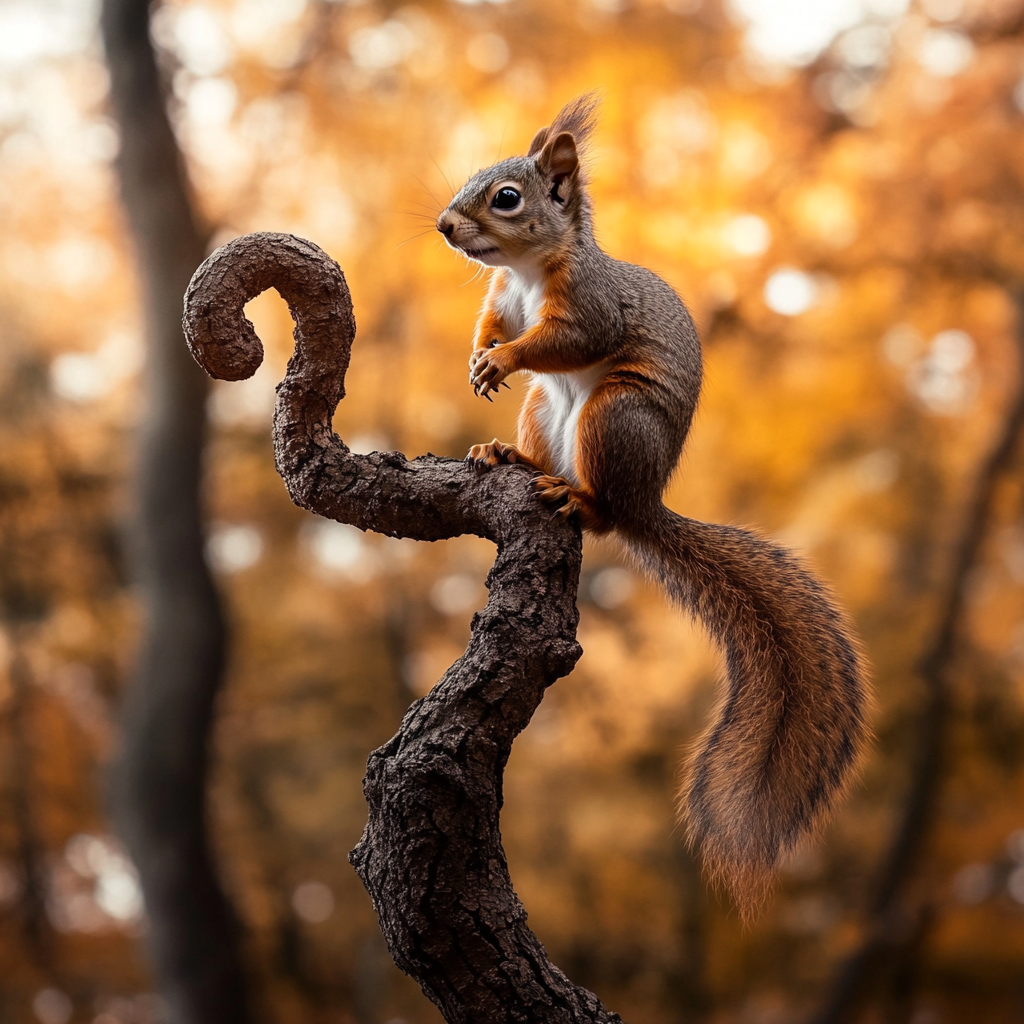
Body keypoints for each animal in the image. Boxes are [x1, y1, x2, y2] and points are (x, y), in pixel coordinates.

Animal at [436, 94, 868, 913]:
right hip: (546, 411)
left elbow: (560, 340)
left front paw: (502, 359)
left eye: (506, 197)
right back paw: (509, 458)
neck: (528, 272)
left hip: (615, 418)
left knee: (602, 504)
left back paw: (573, 496)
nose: (444, 226)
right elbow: (491, 322)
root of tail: (646, 501)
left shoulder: (588, 306)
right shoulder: (502, 299)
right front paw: (479, 357)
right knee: (540, 434)